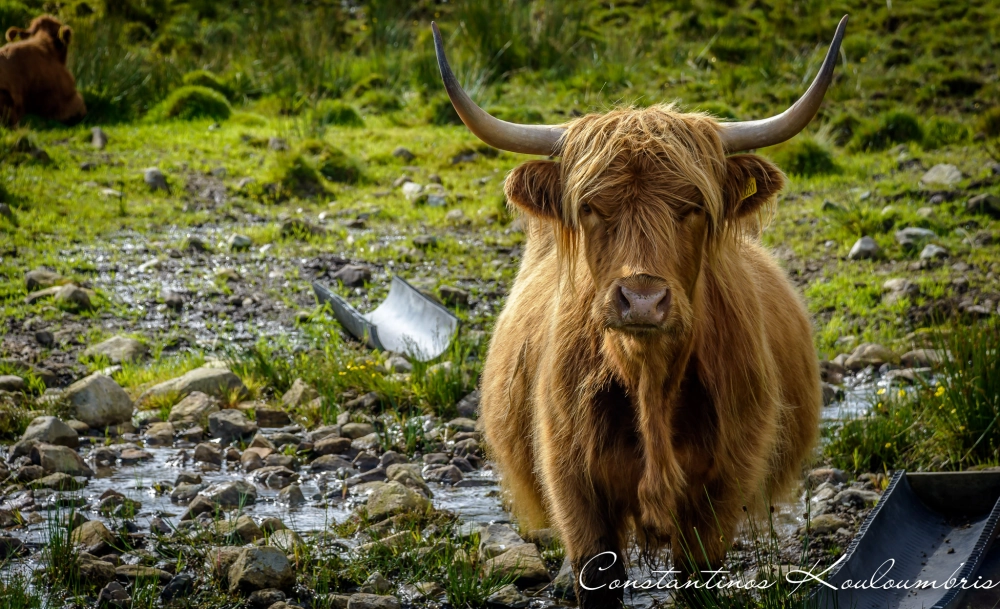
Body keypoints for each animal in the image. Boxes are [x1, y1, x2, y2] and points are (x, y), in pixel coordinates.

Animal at [433, 15, 847, 608]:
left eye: (691, 207)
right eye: (590, 206)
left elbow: (698, 578)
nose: (643, 299)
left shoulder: (721, 489)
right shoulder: (574, 488)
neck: (649, 376)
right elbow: (596, 577)